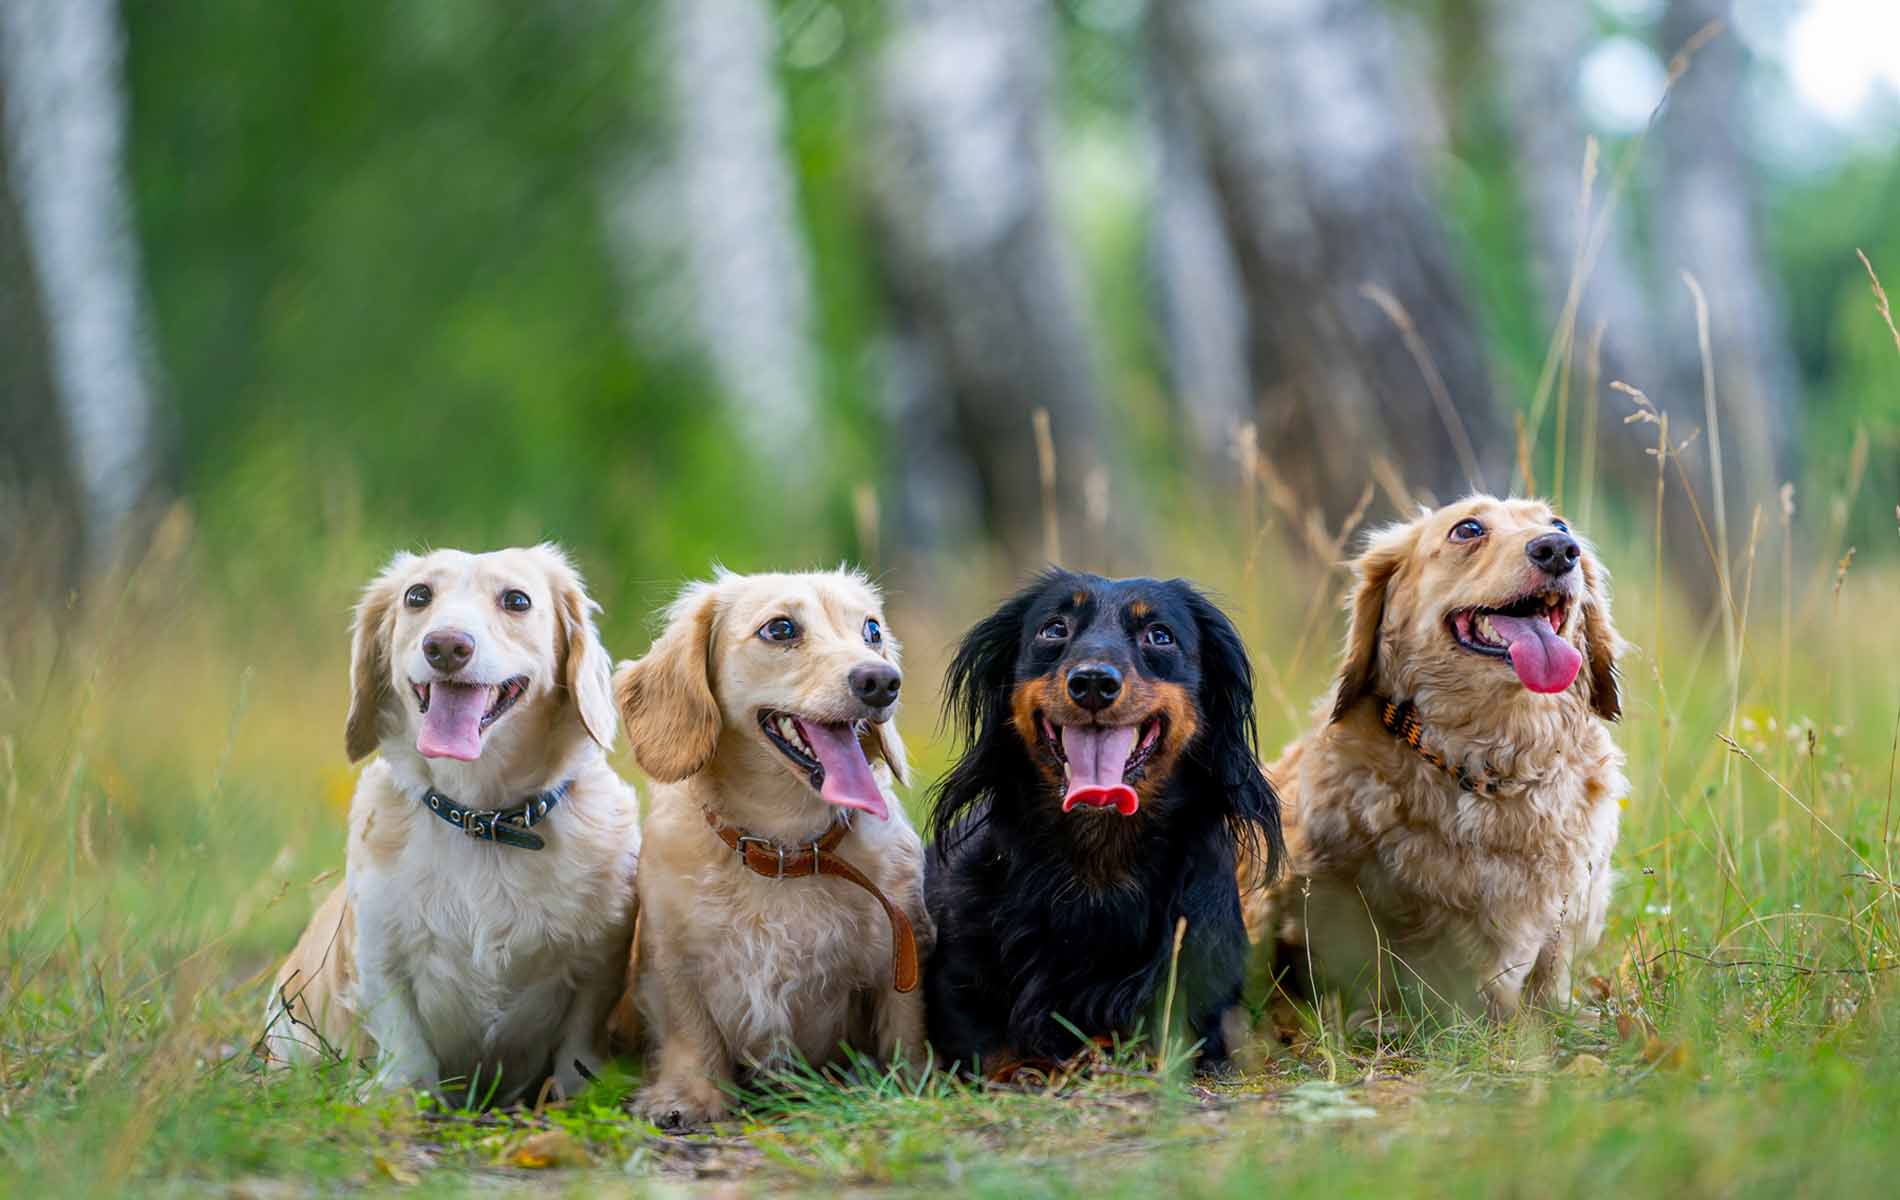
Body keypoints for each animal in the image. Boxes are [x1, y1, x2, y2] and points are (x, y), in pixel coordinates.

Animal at [264, 546, 642, 1108]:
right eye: (417, 595)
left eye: (517, 600)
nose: (445, 645)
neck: (483, 821)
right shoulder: (381, 952)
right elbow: (404, 1039)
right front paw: (400, 1095)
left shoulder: (599, 959)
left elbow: (578, 1042)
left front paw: (576, 1091)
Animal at [615, 569, 927, 1124]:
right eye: (780, 629)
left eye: (872, 630)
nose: (882, 681)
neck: (784, 849)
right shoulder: (671, 957)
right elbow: (691, 1030)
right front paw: (691, 1097)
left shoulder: (899, 949)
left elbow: (902, 1028)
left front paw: (907, 1087)